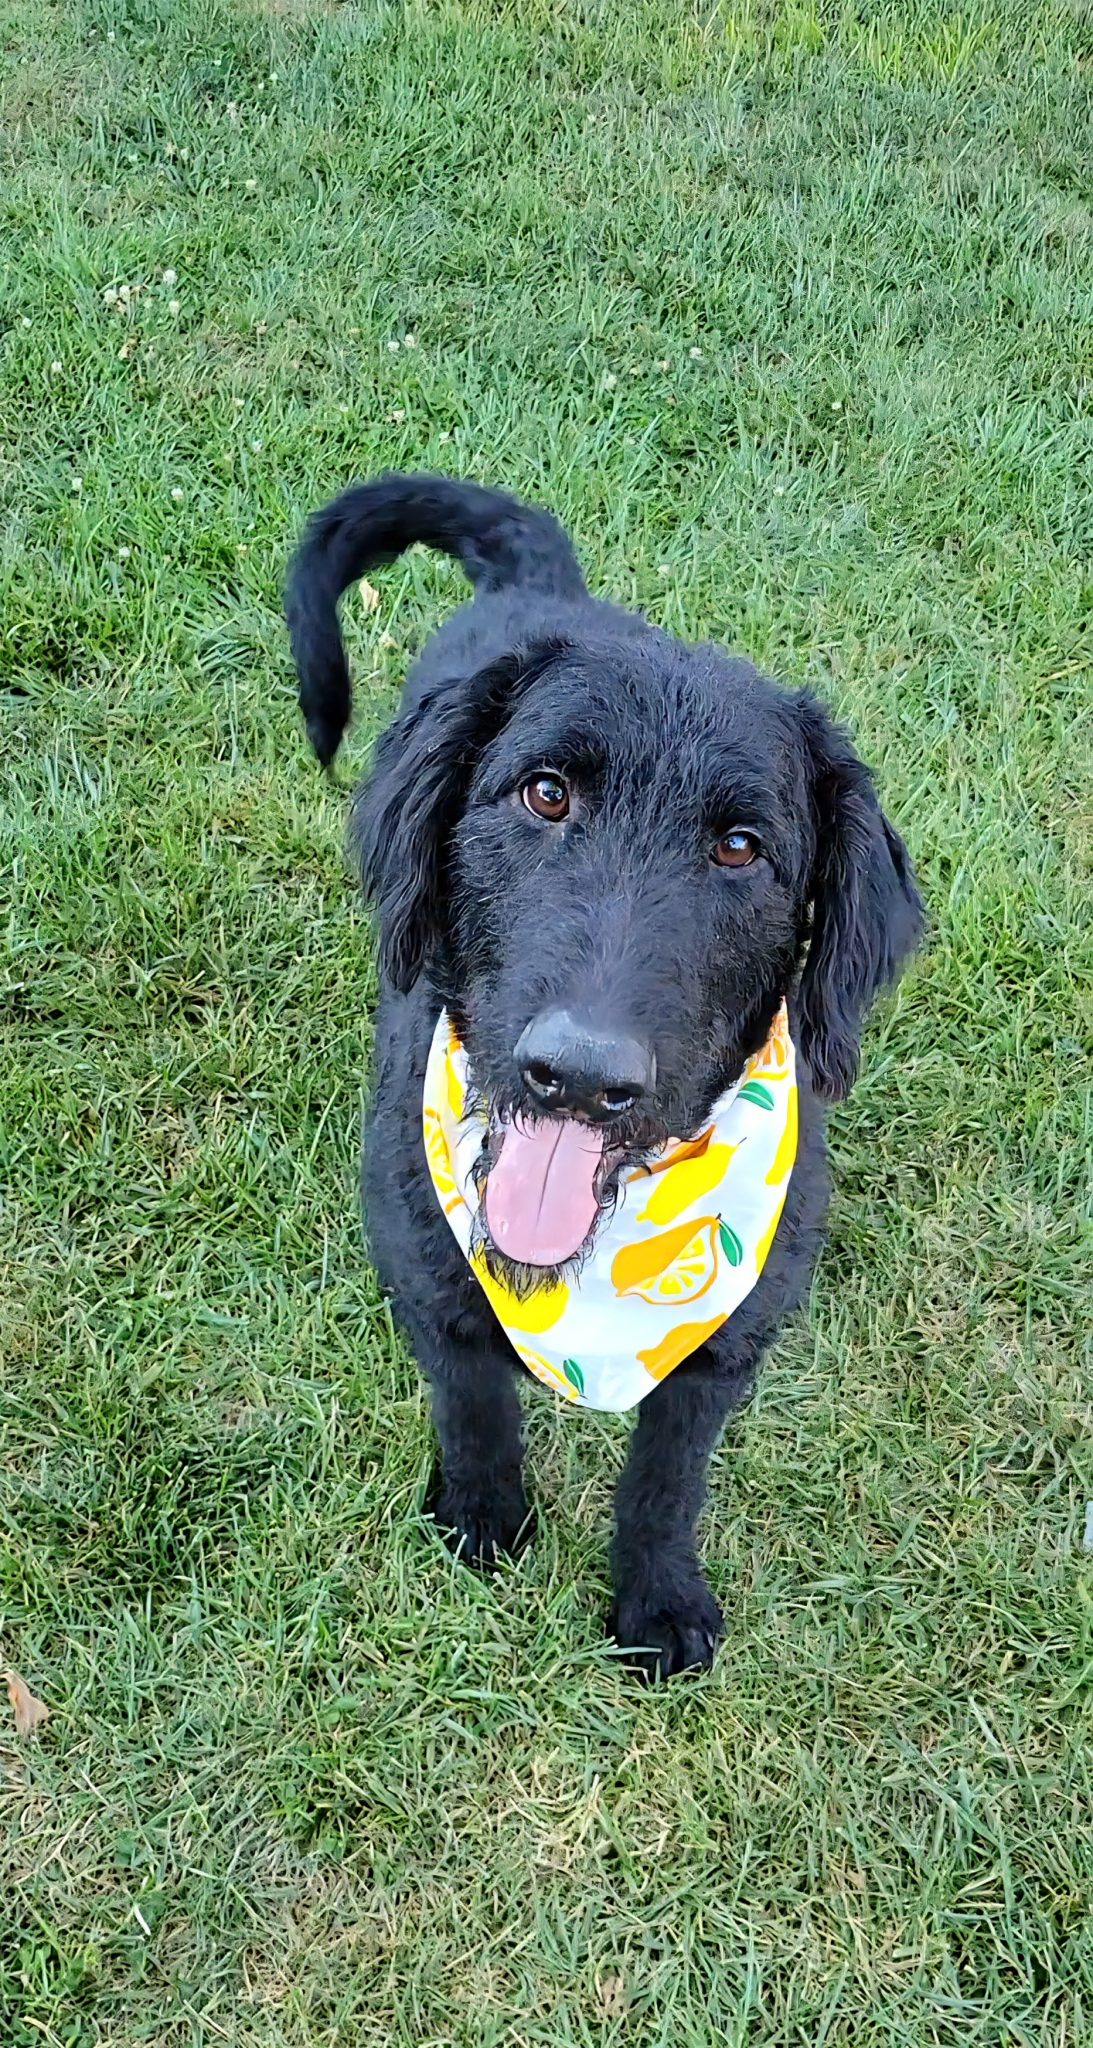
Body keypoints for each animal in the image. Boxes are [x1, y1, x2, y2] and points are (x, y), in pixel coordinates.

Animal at [286, 472, 922, 1679]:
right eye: (545, 794)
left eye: (739, 848)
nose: (577, 1077)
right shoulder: (427, 1273)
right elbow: (474, 1401)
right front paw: (483, 1515)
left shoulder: (725, 1349)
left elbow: (668, 1477)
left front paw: (657, 1594)